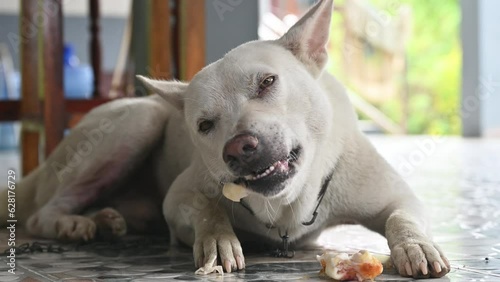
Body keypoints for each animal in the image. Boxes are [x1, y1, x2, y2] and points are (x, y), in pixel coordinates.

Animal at [0, 0, 452, 278]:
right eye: (204, 125)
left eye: (268, 82)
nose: (239, 148)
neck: (287, 204)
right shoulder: (179, 197)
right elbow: (207, 209)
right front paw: (218, 238)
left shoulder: (398, 198)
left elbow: (402, 218)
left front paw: (416, 247)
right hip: (138, 122)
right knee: (42, 212)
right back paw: (75, 224)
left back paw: (108, 220)